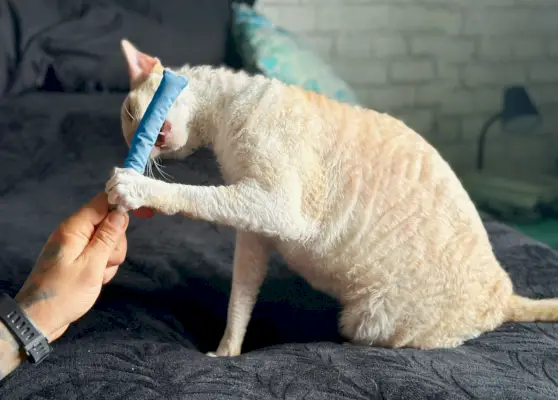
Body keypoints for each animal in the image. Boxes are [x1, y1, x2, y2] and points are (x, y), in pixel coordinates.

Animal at [107, 39, 558, 356]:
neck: (225, 110)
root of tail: (503, 295)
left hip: (369, 319)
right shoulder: (255, 228)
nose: (143, 147)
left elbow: (198, 196)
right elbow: (241, 295)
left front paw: (136, 186)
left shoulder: (276, 206)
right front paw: (227, 351)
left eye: (131, 114)